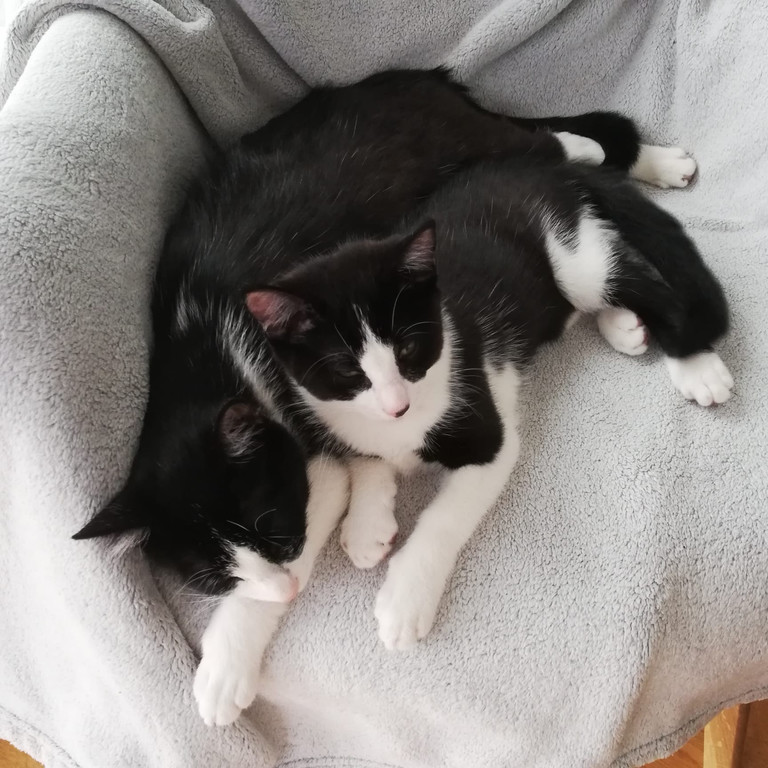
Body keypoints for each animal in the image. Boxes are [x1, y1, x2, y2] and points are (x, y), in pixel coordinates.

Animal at [246, 156, 733, 652]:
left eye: (408, 349)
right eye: (347, 372)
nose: (398, 406)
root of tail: (549, 166)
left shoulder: (484, 430)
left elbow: (444, 517)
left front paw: (406, 599)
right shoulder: (339, 418)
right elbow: (366, 459)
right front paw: (367, 524)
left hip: (570, 252)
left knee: (640, 286)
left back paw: (695, 363)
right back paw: (623, 327)